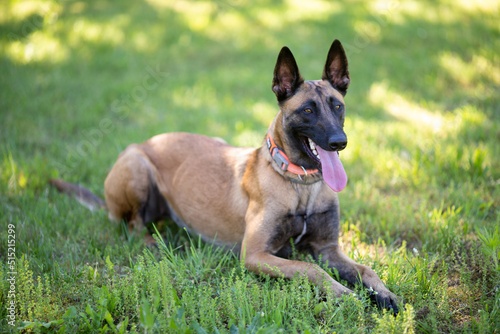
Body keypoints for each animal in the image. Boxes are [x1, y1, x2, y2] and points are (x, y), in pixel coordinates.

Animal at [50, 39, 400, 314]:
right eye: (308, 110)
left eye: (337, 106)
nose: (339, 142)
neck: (300, 185)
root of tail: (148, 141)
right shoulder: (256, 254)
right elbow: (308, 269)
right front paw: (343, 293)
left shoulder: (328, 249)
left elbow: (366, 269)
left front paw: (383, 293)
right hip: (136, 165)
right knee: (133, 226)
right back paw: (154, 243)